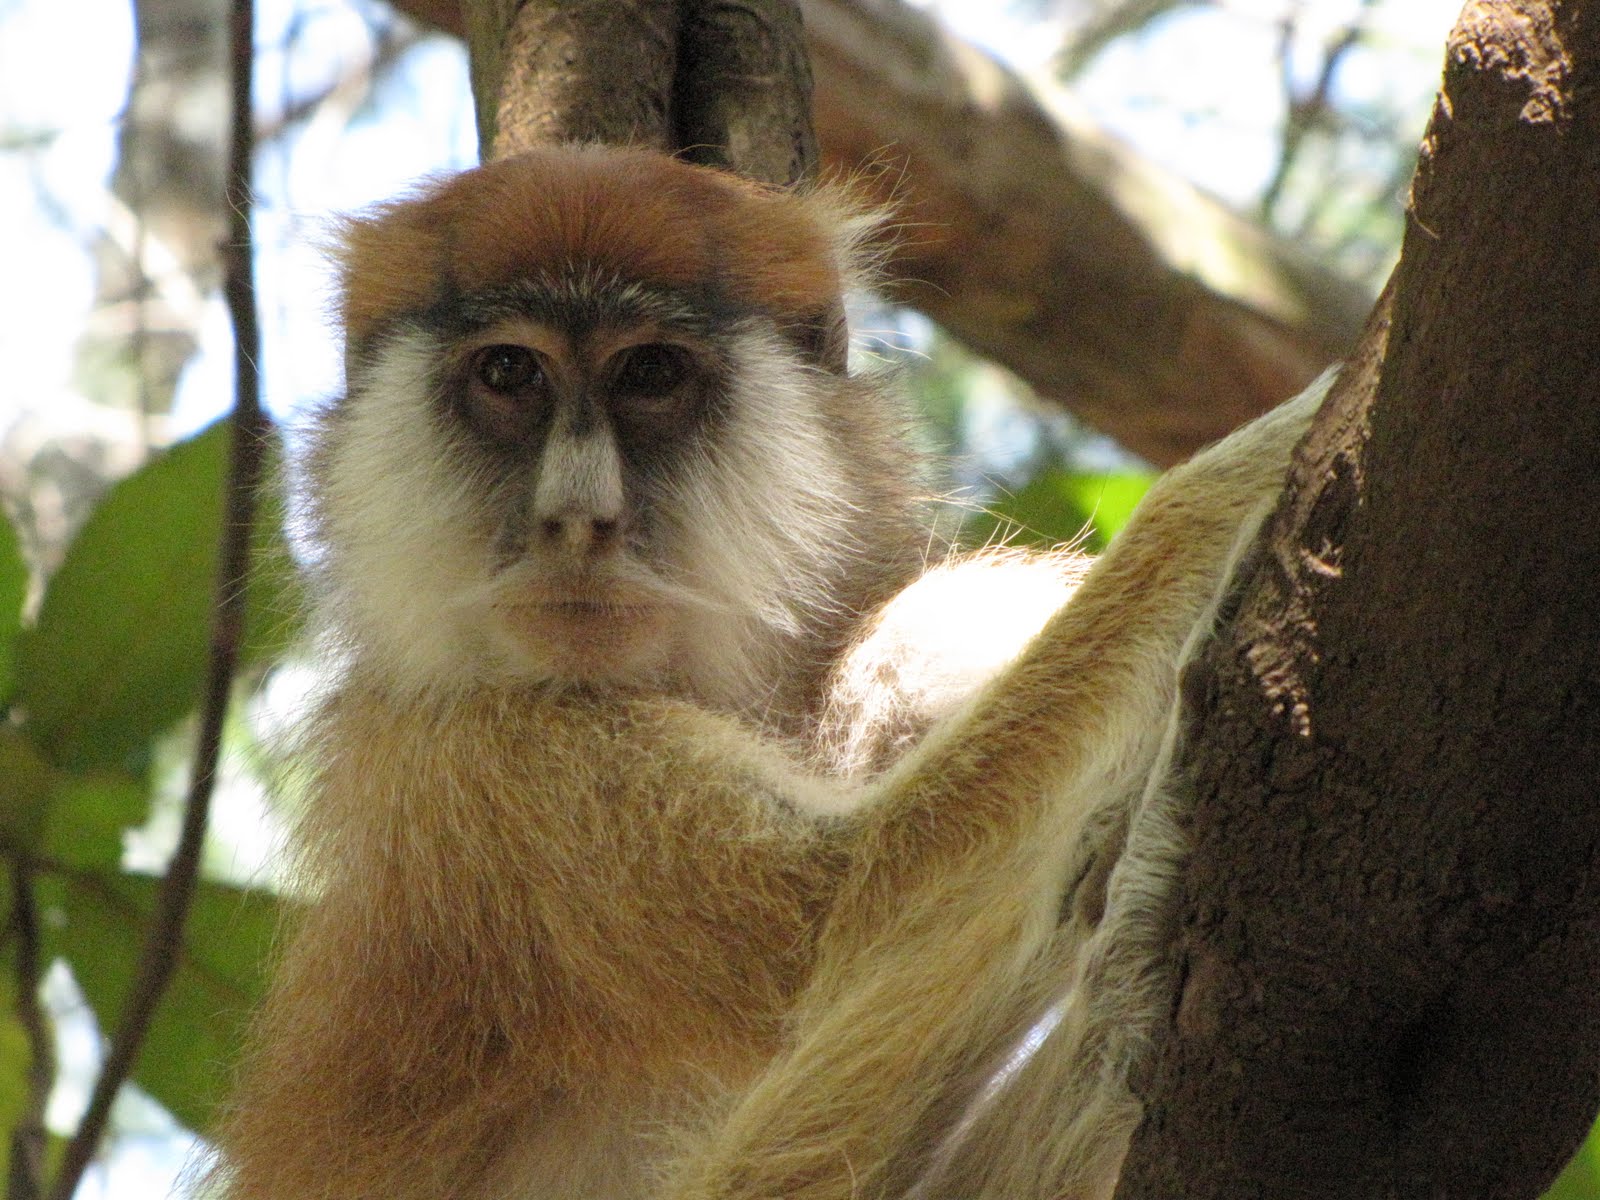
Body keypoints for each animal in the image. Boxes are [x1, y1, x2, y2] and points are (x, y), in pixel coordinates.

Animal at [206, 143, 1330, 1200]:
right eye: (509, 375)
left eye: (651, 375)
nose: (577, 519)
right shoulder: (466, 769)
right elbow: (841, 923)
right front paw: (1254, 461)